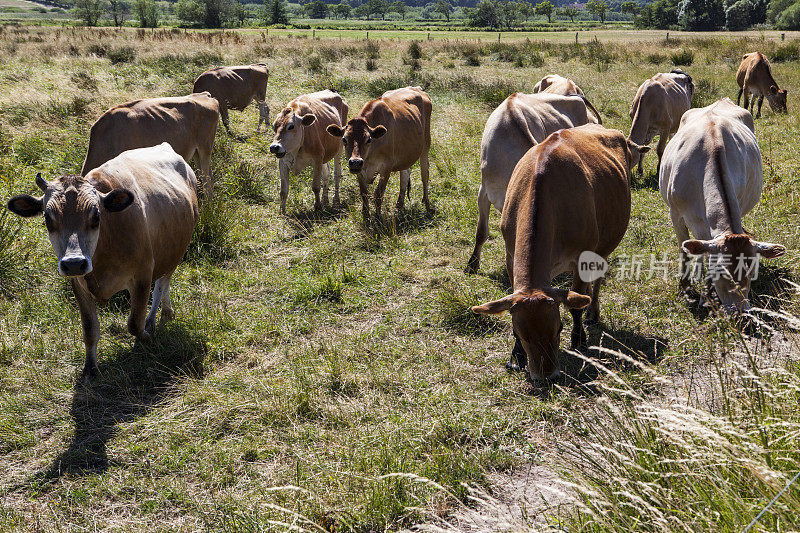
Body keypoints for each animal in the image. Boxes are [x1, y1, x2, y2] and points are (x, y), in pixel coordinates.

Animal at [8, 143, 199, 380]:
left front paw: (145, 337)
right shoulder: (79, 283)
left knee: (163, 284)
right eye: (47, 218)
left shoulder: (142, 275)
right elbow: (90, 330)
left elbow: (134, 323)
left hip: (175, 252)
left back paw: (159, 316)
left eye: (96, 215)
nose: (74, 262)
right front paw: (90, 369)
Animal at [324, 85, 432, 222]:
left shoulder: (387, 167)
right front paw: (366, 215)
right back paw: (399, 206)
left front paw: (378, 217)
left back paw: (427, 203)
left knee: (425, 174)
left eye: (368, 139)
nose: (355, 162)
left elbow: (378, 194)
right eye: (344, 139)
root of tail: (416, 88)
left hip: (426, 145)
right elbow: (364, 193)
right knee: (405, 175)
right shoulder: (360, 170)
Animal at [660, 98, 784, 312]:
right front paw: (686, 287)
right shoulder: (675, 213)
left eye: (752, 274)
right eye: (721, 272)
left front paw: (705, 295)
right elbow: (685, 251)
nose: (741, 312)